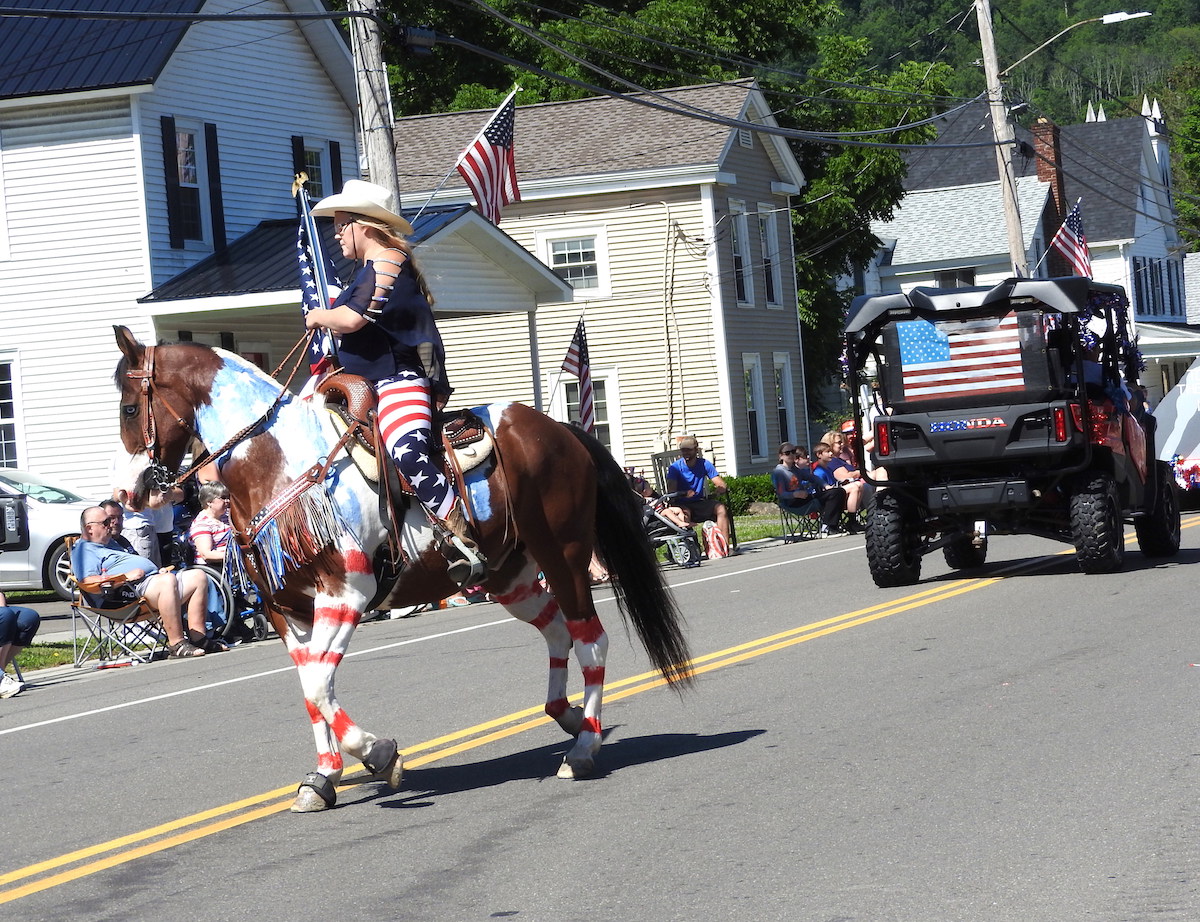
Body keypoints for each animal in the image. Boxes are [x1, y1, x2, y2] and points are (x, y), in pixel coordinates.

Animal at [112, 326, 696, 811]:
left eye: (127, 407)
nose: (127, 494)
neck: (276, 462)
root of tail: (560, 429)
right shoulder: (286, 611)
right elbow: (310, 690)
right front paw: (323, 778)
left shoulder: (346, 591)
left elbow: (320, 685)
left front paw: (378, 753)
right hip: (511, 575)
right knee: (558, 632)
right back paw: (568, 716)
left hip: (566, 554)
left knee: (590, 638)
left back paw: (585, 748)